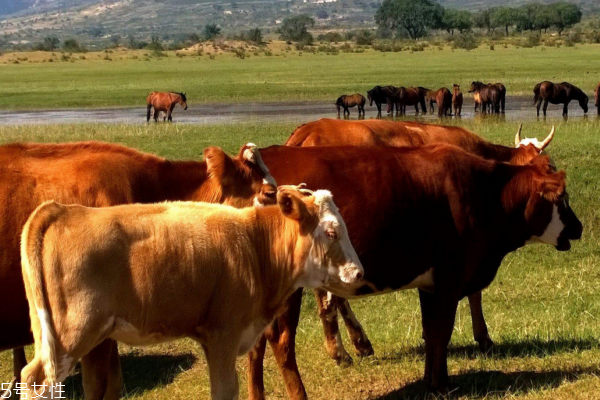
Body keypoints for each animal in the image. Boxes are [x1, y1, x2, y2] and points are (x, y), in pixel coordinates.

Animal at [19, 186, 360, 400]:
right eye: (331, 232)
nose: (359, 273)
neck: (254, 245)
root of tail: (61, 211)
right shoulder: (223, 335)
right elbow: (225, 391)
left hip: (72, 338)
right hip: (70, 336)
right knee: (36, 381)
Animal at [248, 145, 580, 396]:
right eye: (563, 198)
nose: (579, 227)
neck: (484, 193)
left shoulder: (430, 285)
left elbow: (431, 332)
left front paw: (430, 381)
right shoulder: (450, 281)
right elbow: (442, 331)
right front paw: (441, 384)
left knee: (255, 345)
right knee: (281, 341)